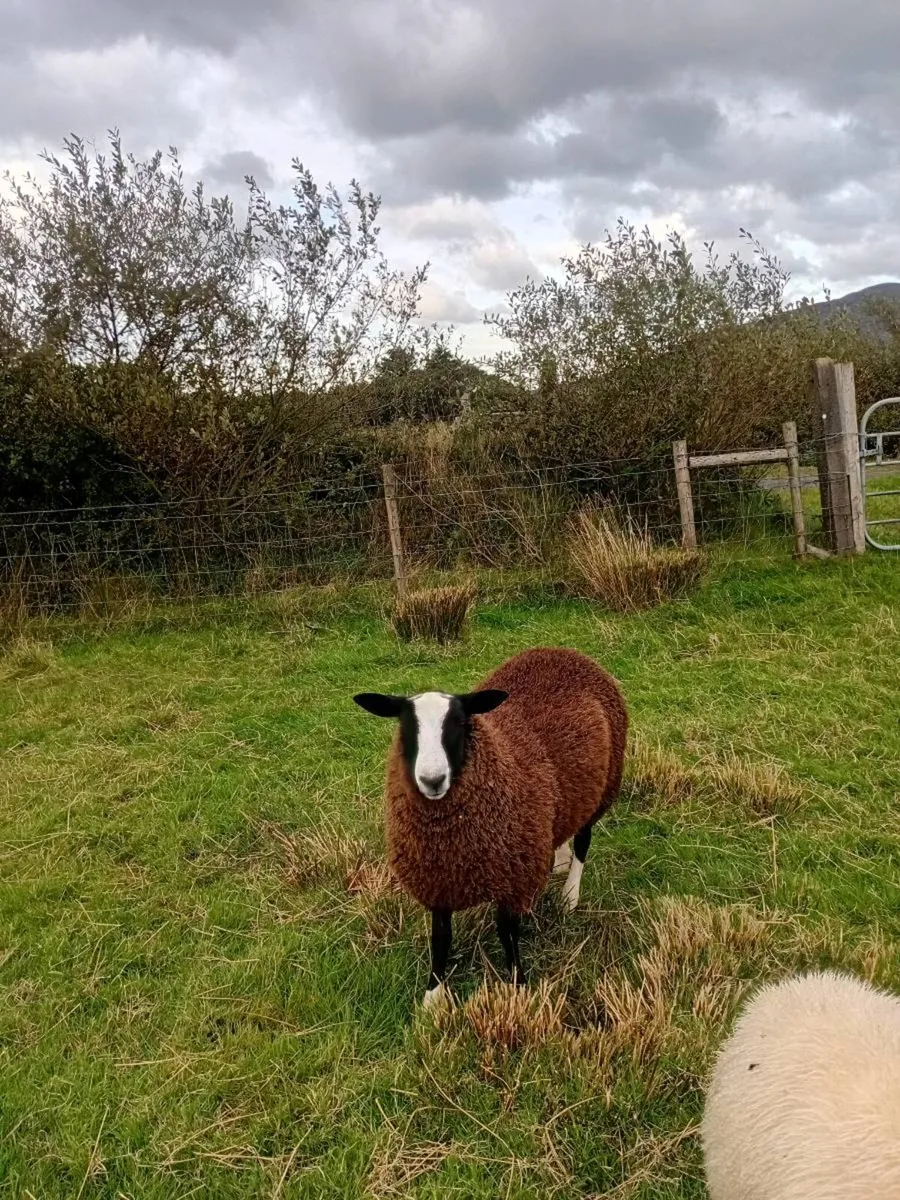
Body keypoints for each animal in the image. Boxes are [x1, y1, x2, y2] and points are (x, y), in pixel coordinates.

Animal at [353, 646, 627, 1008]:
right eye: (406, 726)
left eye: (459, 723)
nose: (432, 779)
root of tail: (562, 651)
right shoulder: (438, 880)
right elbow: (441, 938)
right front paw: (432, 997)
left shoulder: (513, 878)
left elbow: (506, 933)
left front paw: (518, 987)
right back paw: (559, 861)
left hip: (602, 788)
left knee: (584, 839)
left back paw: (570, 894)